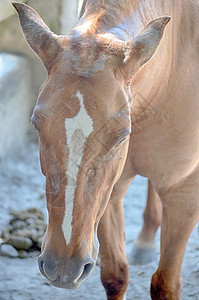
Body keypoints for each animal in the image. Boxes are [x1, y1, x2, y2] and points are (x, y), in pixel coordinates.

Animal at [14, 1, 199, 298]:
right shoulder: (111, 190)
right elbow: (115, 276)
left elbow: (165, 284)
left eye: (121, 135)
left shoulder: (184, 193)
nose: (62, 268)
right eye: (36, 124)